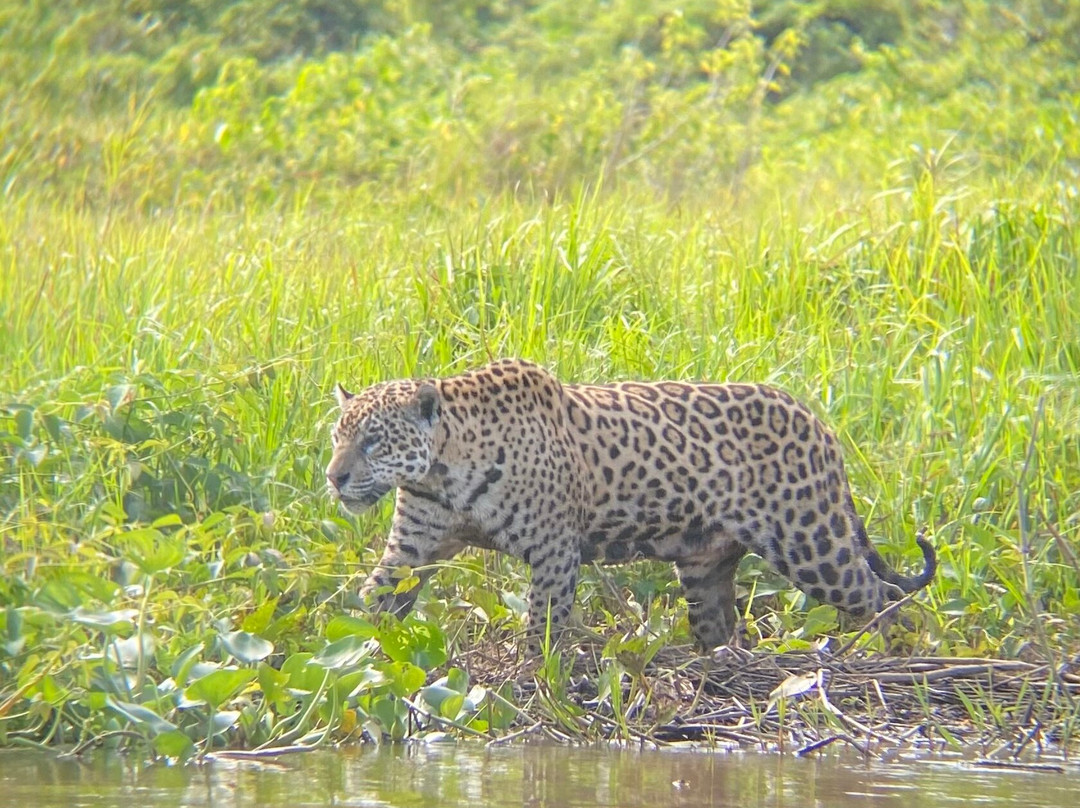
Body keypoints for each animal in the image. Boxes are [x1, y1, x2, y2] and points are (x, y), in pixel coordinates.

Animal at [325, 358, 935, 653]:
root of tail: (817, 420)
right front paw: (350, 653)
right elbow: (374, 598)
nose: (334, 478)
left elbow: (542, 621)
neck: (444, 470)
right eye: (338, 436)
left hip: (810, 542)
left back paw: (899, 656)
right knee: (721, 624)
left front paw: (533, 678)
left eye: (373, 441)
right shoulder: (412, 547)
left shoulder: (554, 551)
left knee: (881, 596)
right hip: (706, 565)